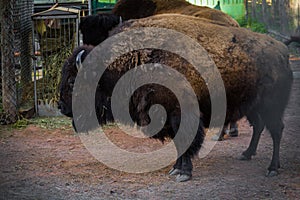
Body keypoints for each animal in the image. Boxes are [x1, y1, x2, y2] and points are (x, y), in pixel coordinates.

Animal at [59, 12, 292, 181]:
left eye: (72, 81)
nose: (61, 107)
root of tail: (282, 52)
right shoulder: (169, 119)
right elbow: (179, 145)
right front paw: (176, 169)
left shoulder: (180, 115)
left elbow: (186, 143)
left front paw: (183, 173)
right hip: (253, 107)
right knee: (260, 127)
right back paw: (246, 154)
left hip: (271, 107)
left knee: (276, 131)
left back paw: (272, 168)